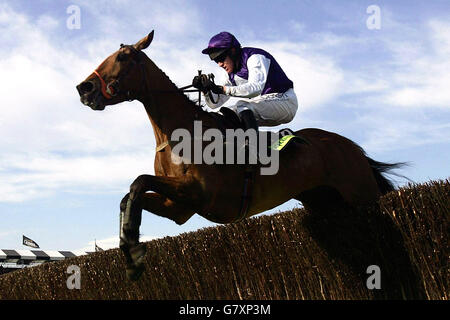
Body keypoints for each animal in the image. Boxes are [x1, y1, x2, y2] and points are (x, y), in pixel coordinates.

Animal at [75, 30, 402, 280]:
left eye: (122, 57)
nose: (84, 87)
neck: (180, 133)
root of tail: (351, 146)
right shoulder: (180, 208)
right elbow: (131, 194)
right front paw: (131, 254)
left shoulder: (201, 194)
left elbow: (138, 182)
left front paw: (133, 248)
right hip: (324, 202)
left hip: (361, 194)